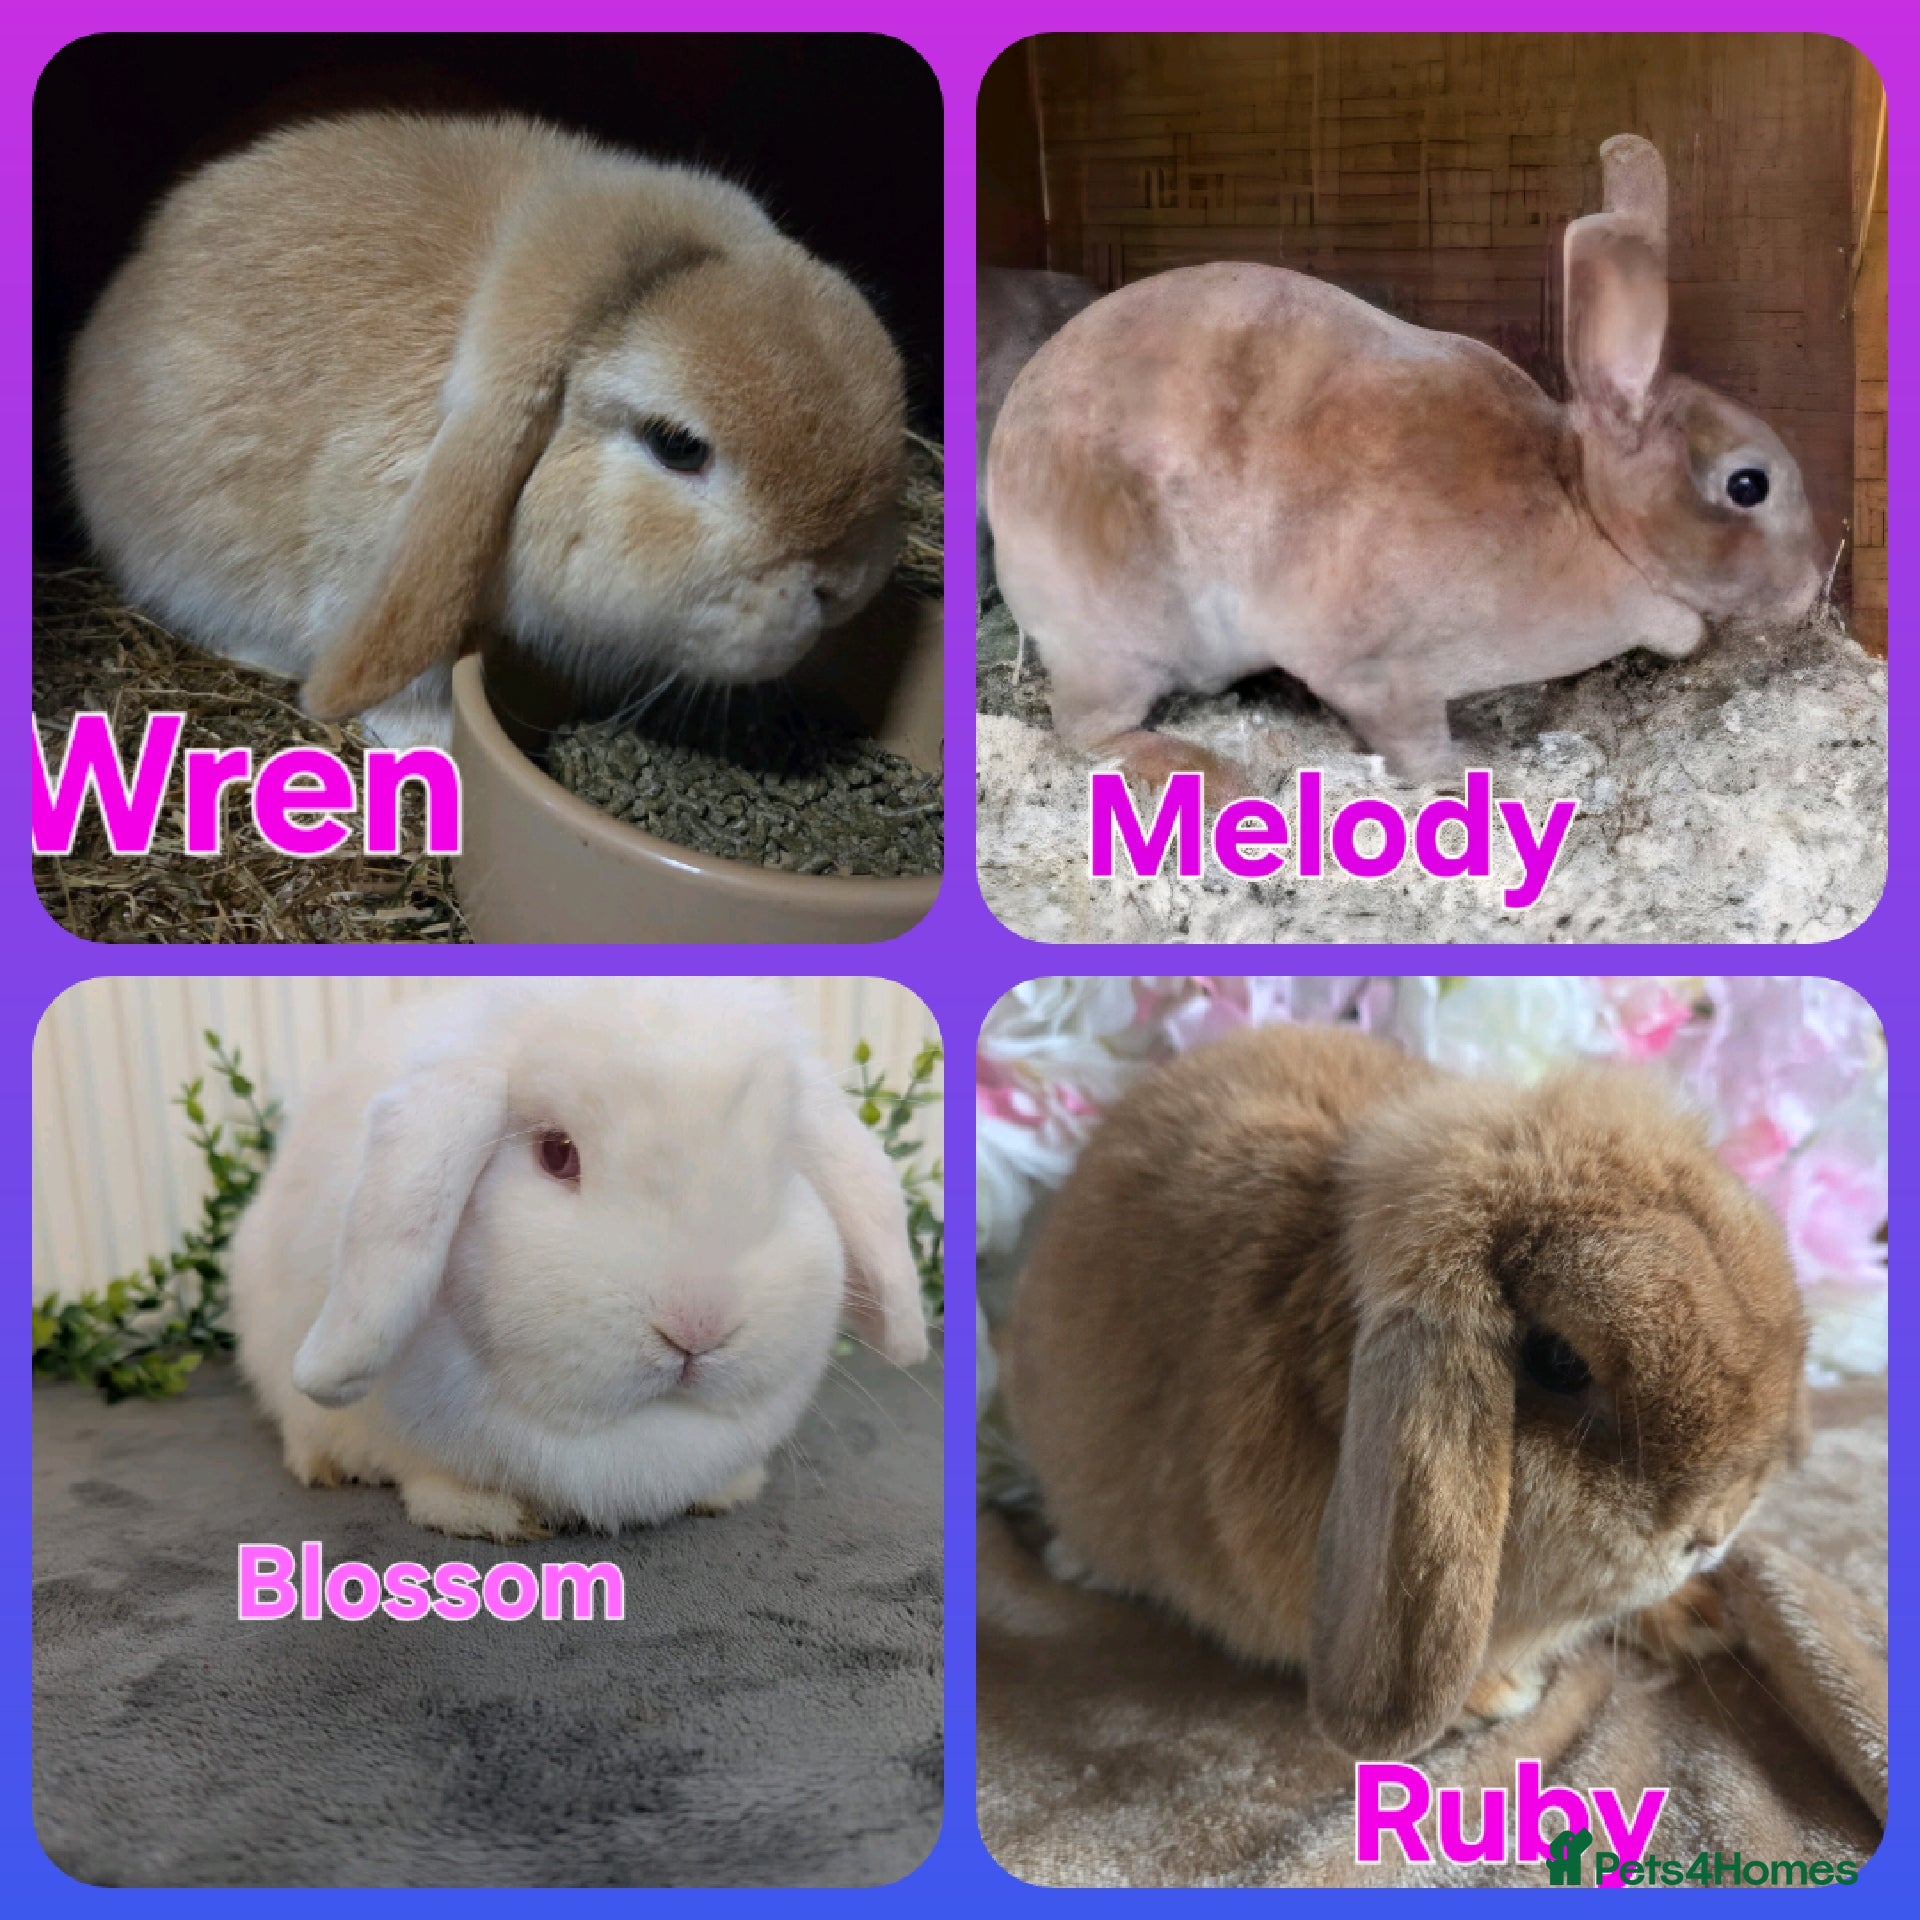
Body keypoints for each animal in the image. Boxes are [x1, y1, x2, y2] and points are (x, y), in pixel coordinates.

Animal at [230, 979, 928, 1541]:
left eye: (781, 1168)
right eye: (557, 1154)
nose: (696, 1327)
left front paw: (727, 1492)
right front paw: (487, 1516)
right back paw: (323, 1465)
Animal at [986, 135, 1825, 784]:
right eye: (1748, 484)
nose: (1812, 588)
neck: (1588, 514)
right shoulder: (1382, 671)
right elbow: (1411, 740)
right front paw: (1468, 771)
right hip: (1120, 641)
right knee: (1087, 734)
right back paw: (1212, 774)